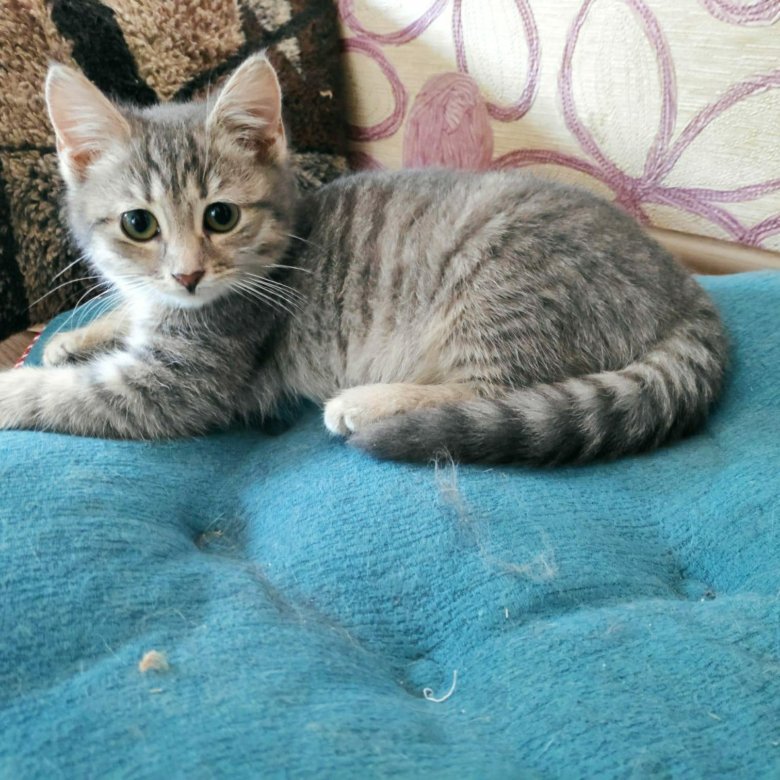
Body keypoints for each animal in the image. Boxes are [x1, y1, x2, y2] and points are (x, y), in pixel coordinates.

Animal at [0, 54, 727, 465]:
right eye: (138, 224)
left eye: (221, 216)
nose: (187, 274)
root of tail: (683, 286)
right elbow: (123, 311)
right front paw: (80, 335)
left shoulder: (179, 384)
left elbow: (74, 396)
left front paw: (17, 384)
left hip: (506, 286)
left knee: (496, 388)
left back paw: (370, 403)